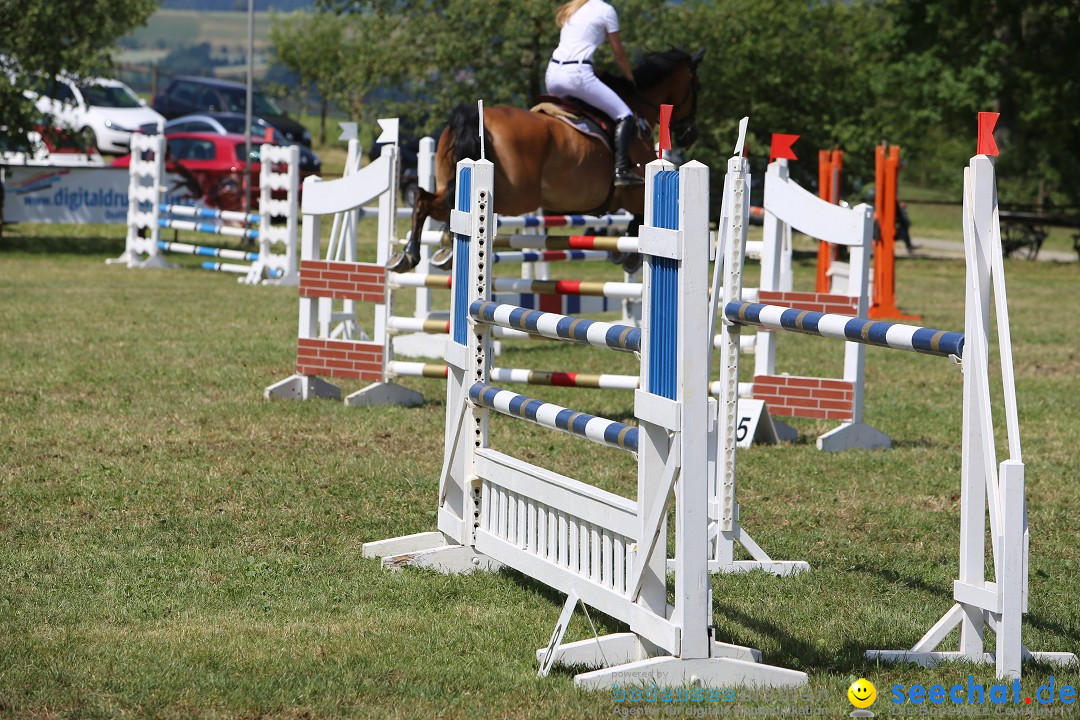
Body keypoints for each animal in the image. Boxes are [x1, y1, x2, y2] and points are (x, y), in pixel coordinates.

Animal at [390, 47, 708, 273]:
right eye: (697, 86)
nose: (689, 134)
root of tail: (474, 116)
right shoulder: (634, 191)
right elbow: (640, 216)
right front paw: (629, 258)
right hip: (516, 196)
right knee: (445, 205)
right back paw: (431, 252)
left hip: (457, 180)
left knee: (425, 198)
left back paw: (411, 255)